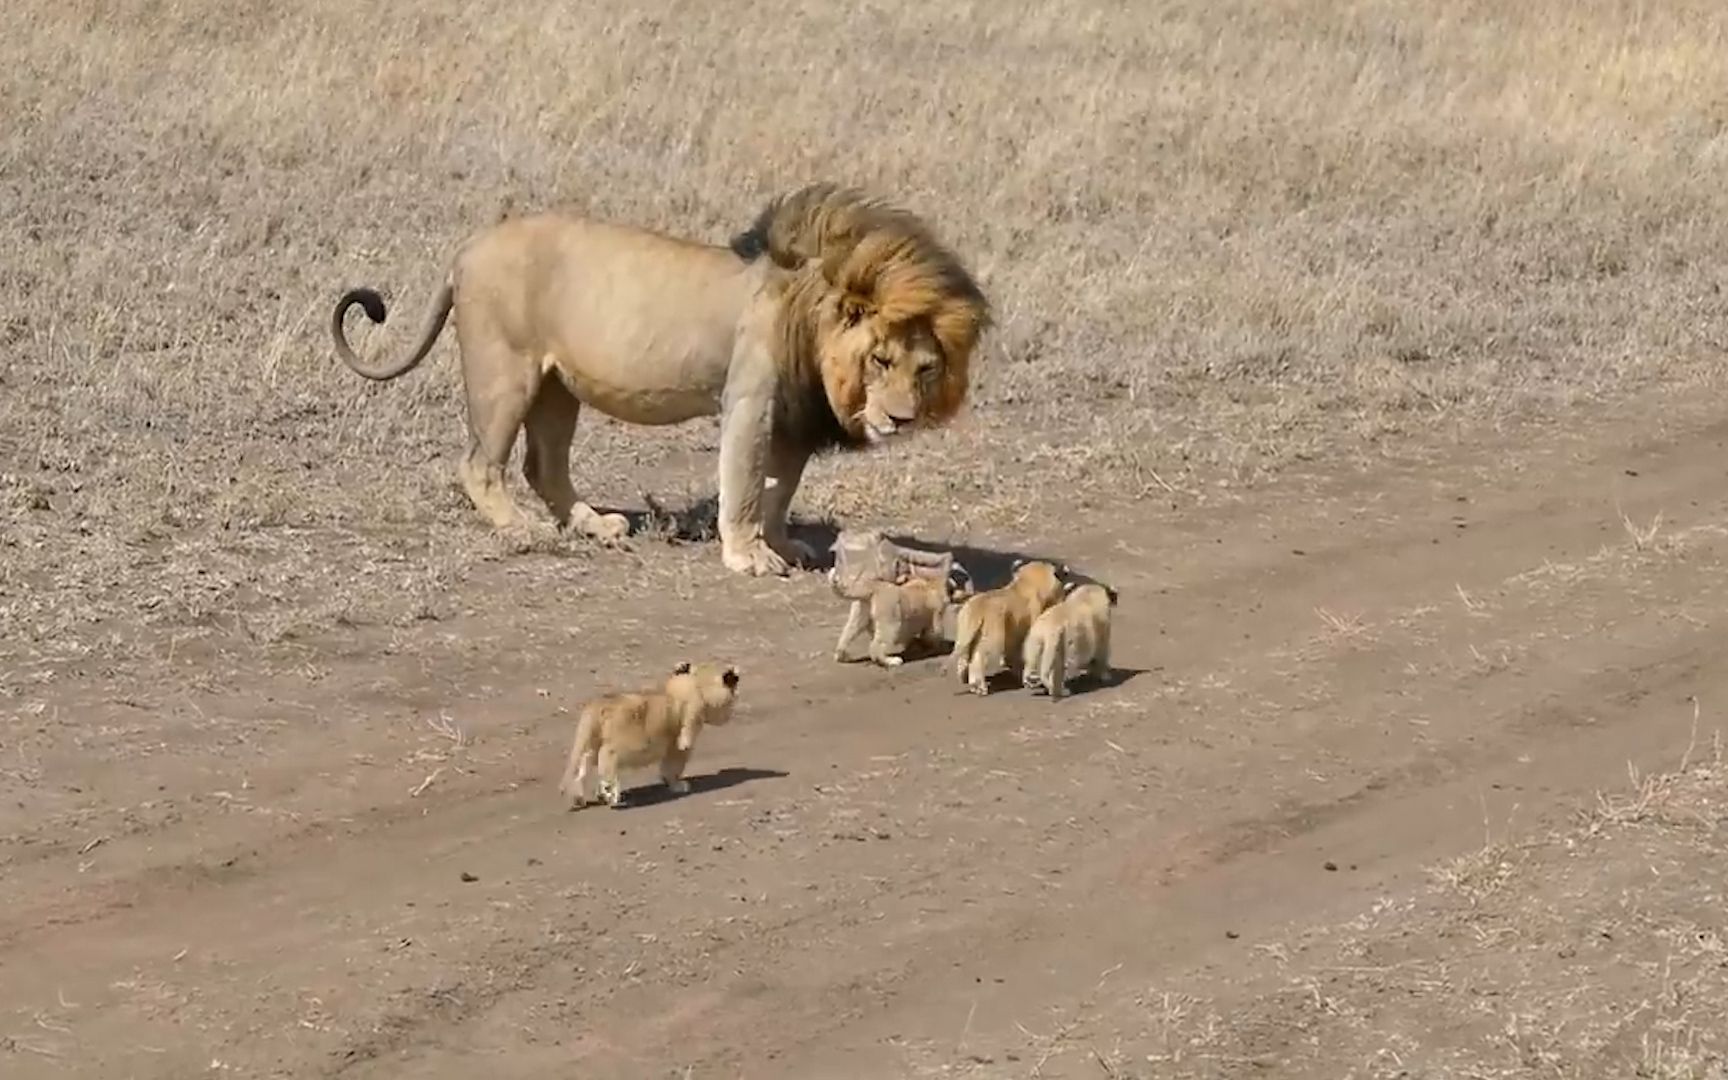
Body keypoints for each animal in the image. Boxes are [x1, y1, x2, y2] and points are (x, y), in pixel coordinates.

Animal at [330, 183, 995, 580]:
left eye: (925, 367)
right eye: (880, 360)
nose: (901, 419)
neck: (809, 312)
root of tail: (466, 250)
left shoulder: (790, 421)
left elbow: (778, 490)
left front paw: (780, 544)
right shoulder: (750, 401)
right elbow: (745, 485)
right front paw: (748, 555)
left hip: (557, 385)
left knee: (544, 466)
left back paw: (594, 525)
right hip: (505, 370)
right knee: (479, 465)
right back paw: (521, 528)